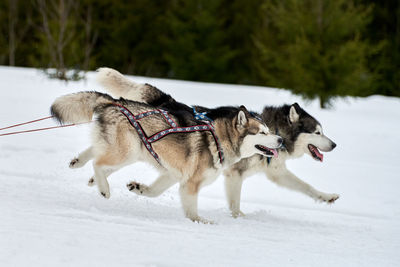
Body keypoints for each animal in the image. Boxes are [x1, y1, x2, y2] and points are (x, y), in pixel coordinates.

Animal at [89, 66, 340, 218]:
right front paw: (238, 217)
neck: (278, 130)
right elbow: (235, 203)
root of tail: (169, 101)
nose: (335, 145)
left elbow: (306, 187)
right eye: (318, 132)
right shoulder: (234, 174)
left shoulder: (275, 172)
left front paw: (326, 197)